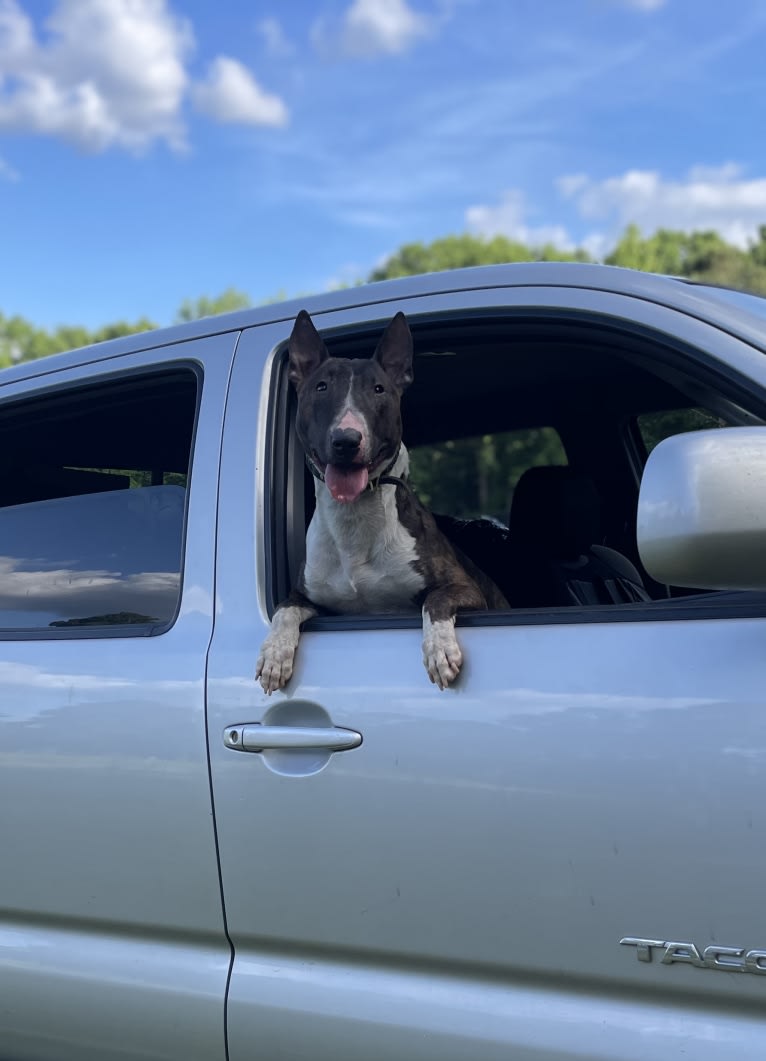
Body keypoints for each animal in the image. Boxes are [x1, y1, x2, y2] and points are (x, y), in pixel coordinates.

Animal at [256, 309, 507, 687]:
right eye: (321, 386)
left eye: (379, 389)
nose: (346, 440)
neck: (354, 520)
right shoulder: (308, 596)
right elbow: (283, 610)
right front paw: (274, 655)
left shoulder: (464, 587)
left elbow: (434, 600)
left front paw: (439, 650)